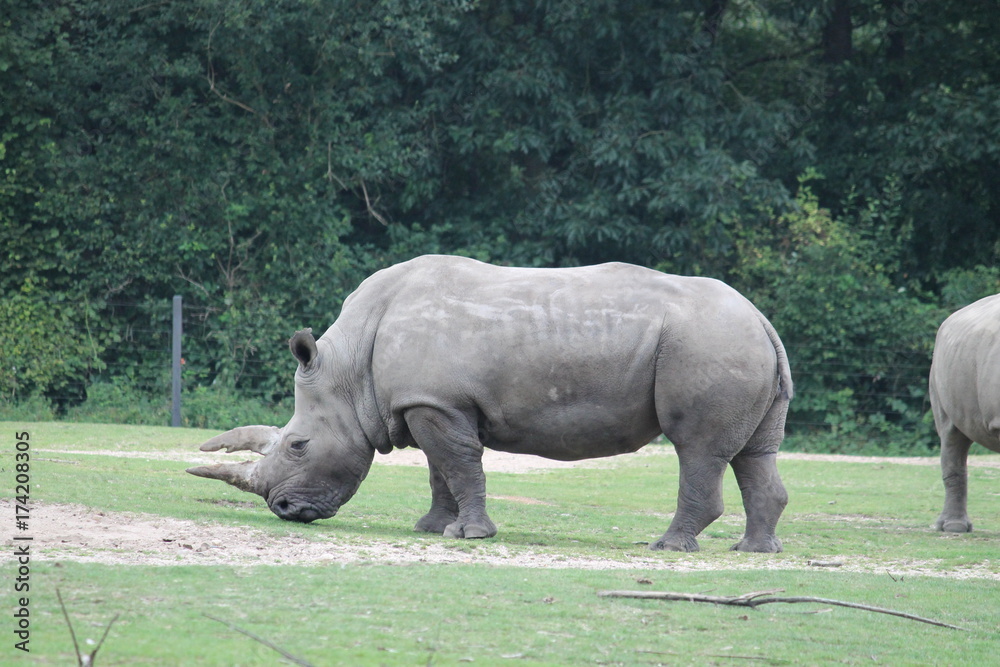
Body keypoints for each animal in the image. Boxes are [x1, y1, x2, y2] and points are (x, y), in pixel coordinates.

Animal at [188, 254, 793, 552]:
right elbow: (440, 470)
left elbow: (459, 466)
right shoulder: (427, 403)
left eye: (297, 445)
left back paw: (667, 548)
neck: (350, 371)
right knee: (754, 453)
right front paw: (431, 528)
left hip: (709, 345)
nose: (285, 510)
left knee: (697, 448)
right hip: (734, 343)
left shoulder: (437, 403)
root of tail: (761, 319)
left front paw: (470, 537)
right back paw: (754, 552)